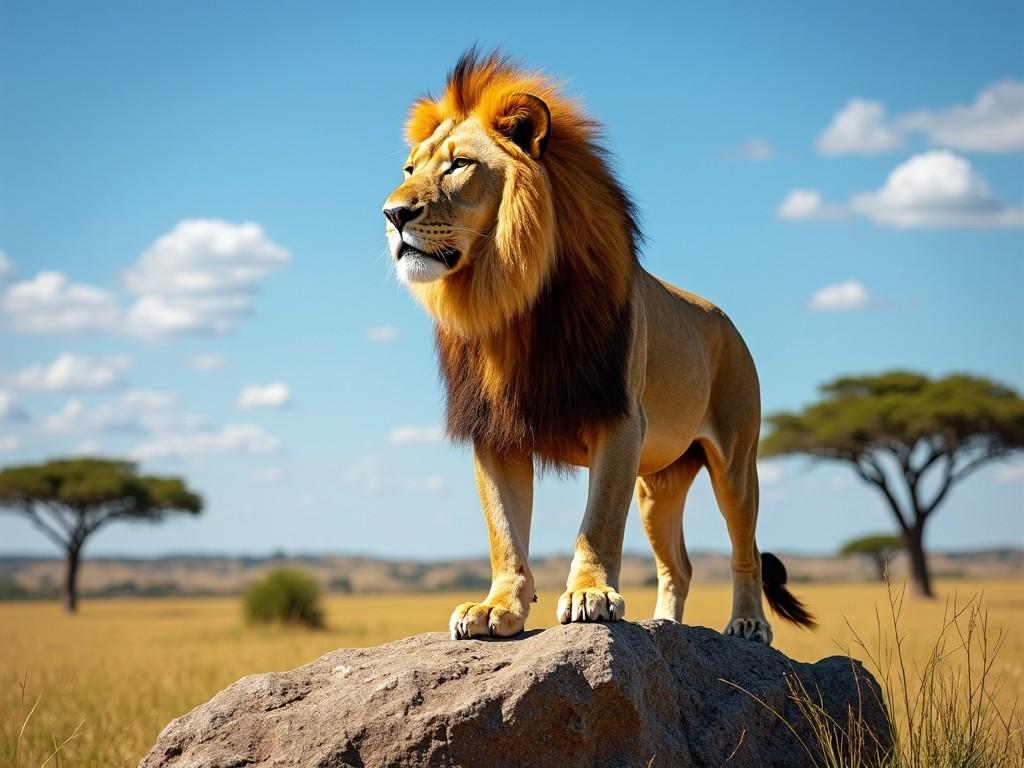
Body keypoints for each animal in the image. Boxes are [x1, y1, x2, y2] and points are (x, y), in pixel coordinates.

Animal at [380, 51, 811, 647]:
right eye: (408, 170)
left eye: (458, 165)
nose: (392, 214)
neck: (508, 299)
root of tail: (724, 319)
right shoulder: (494, 433)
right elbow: (504, 532)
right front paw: (497, 607)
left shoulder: (620, 419)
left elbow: (599, 522)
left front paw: (591, 596)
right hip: (659, 484)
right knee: (679, 565)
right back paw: (665, 624)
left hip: (736, 462)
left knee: (743, 549)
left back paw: (747, 623)